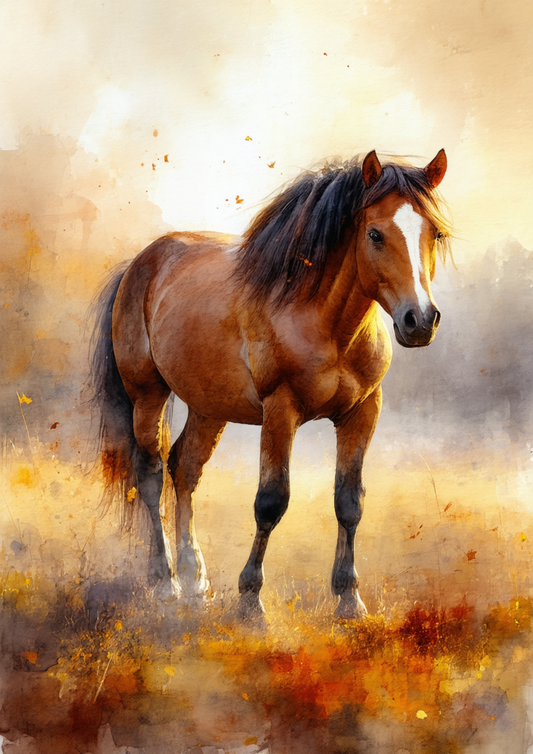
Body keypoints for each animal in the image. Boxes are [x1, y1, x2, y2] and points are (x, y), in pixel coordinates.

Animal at [90, 149, 451, 619]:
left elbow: (349, 502)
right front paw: (250, 602)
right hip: (147, 395)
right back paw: (165, 582)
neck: (326, 324)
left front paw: (349, 600)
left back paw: (194, 579)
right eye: (374, 233)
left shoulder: (362, 412)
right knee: (151, 476)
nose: (420, 321)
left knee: (184, 470)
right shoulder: (281, 410)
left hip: (209, 406)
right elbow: (271, 501)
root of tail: (138, 265)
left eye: (436, 233)